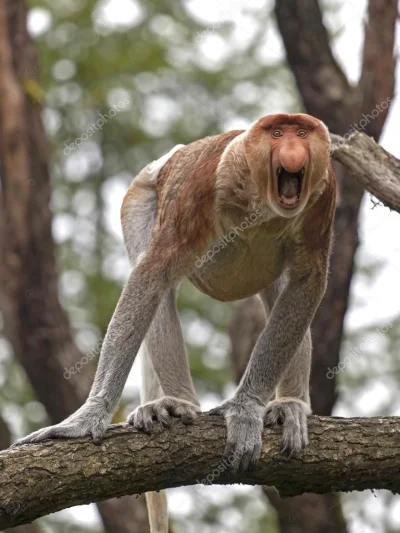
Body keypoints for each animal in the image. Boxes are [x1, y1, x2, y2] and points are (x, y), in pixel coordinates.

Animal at [14, 112, 334, 532]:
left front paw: (247, 409)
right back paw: (177, 405)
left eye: (302, 132)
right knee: (156, 280)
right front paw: (88, 417)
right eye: (278, 133)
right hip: (142, 196)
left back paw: (291, 406)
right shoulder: (197, 186)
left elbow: (307, 279)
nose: (293, 150)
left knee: (286, 288)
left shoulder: (324, 192)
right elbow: (150, 274)